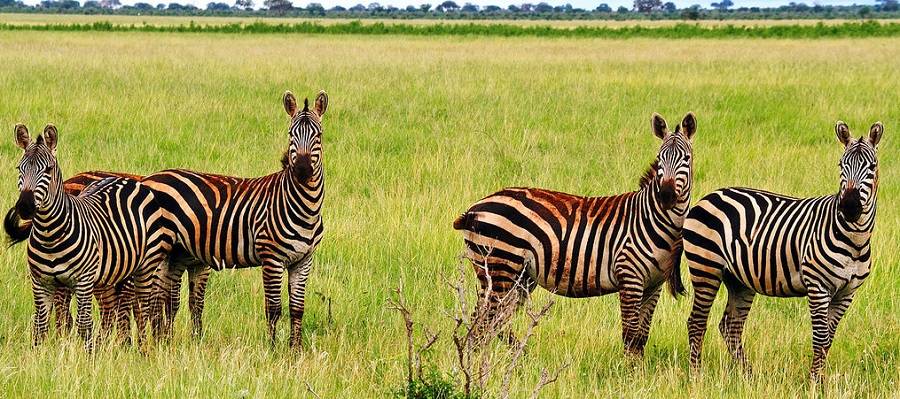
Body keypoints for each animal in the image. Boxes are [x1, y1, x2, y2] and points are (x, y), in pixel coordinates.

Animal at [12, 123, 174, 352]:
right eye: (20, 169)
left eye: (48, 170)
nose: (25, 207)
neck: (49, 234)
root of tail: (127, 180)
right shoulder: (40, 281)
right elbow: (40, 326)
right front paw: (39, 356)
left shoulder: (84, 280)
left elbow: (84, 323)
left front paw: (89, 356)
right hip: (114, 270)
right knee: (114, 308)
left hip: (145, 265)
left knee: (142, 307)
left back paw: (142, 350)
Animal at [139, 90, 326, 350]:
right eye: (291, 134)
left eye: (318, 135)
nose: (302, 170)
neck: (304, 206)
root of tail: (149, 178)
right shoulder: (271, 258)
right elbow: (273, 309)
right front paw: (273, 349)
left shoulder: (303, 260)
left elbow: (297, 309)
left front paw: (295, 350)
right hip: (158, 249)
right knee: (152, 298)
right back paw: (157, 343)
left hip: (175, 253)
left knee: (161, 298)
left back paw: (163, 342)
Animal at [458, 113, 696, 360]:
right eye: (659, 159)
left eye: (687, 159)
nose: (666, 196)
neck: (654, 219)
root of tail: (475, 207)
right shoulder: (629, 276)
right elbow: (630, 335)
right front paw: (626, 370)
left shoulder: (653, 285)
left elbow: (641, 337)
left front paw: (637, 369)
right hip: (499, 270)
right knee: (481, 323)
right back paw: (477, 364)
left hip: (519, 277)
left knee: (493, 322)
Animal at [684, 121, 884, 382]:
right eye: (841, 165)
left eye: (872, 167)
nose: (849, 206)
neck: (855, 241)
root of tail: (710, 195)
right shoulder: (817, 286)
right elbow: (820, 339)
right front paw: (814, 383)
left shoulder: (847, 293)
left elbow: (828, 340)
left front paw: (820, 380)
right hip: (705, 268)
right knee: (696, 322)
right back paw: (695, 377)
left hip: (738, 280)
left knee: (730, 326)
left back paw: (748, 376)